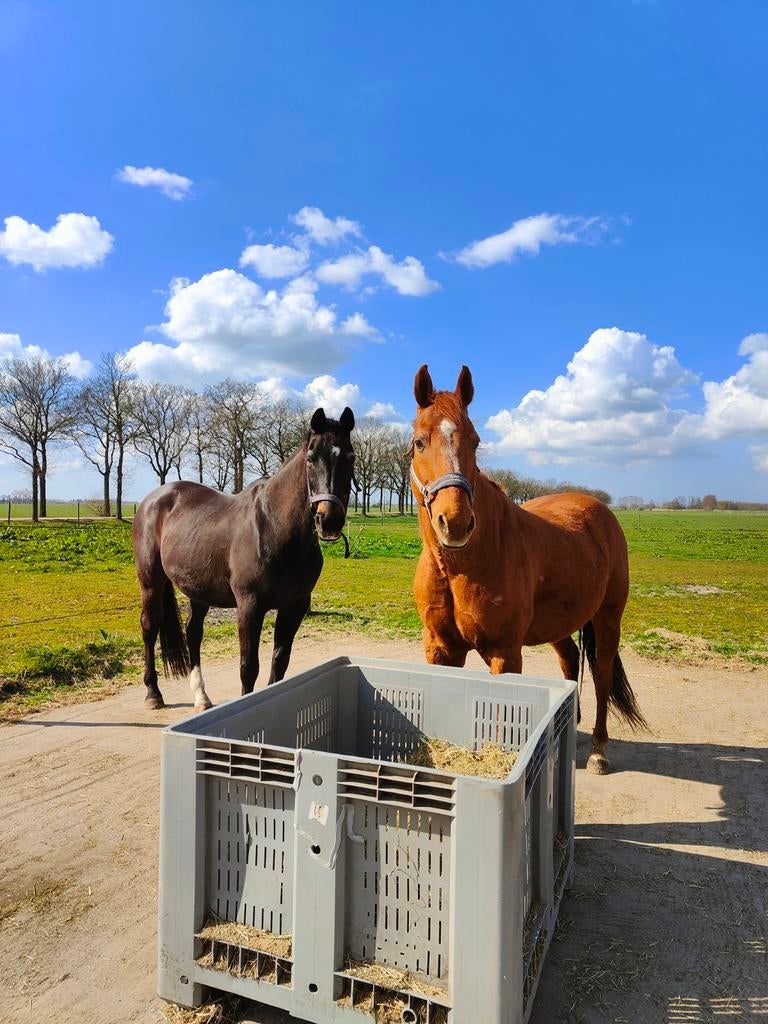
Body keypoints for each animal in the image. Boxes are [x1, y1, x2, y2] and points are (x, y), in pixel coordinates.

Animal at [131, 406, 355, 710]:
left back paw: (201, 697)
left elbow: (280, 662)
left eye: (350, 458)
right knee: (149, 627)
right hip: (151, 582)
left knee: (193, 633)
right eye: (311, 458)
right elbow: (249, 667)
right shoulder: (249, 606)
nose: (329, 519)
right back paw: (153, 693)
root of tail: (153, 499)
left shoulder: (294, 607)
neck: (273, 526)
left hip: (199, 590)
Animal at [409, 365, 646, 773]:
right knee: (569, 660)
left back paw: (599, 749)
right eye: (420, 441)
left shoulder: (505, 653)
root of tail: (600, 511)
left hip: (608, 617)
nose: (455, 523)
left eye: (475, 442)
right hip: (560, 624)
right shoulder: (440, 649)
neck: (463, 566)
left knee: (601, 674)